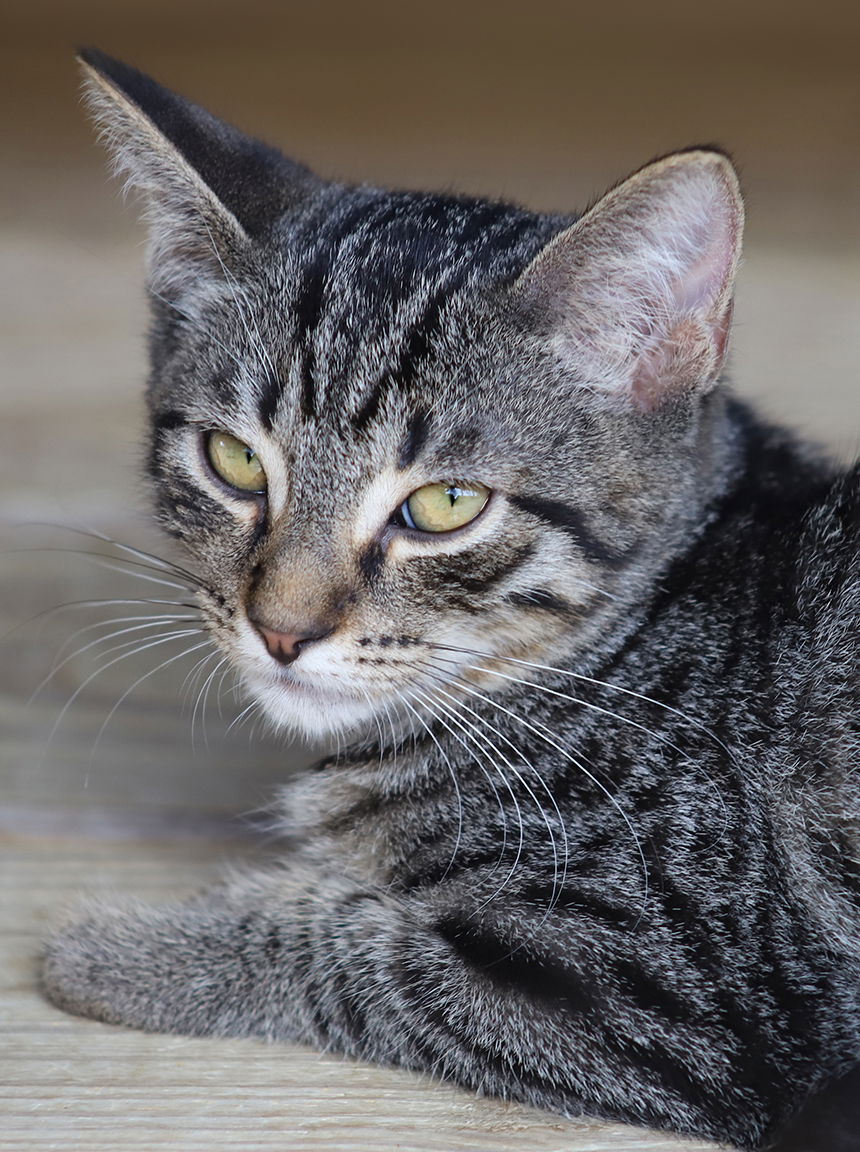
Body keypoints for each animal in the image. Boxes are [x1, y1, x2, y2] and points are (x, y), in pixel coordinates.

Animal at [42, 47, 860, 1152]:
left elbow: (353, 953)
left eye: (444, 505)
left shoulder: (663, 988)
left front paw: (114, 947)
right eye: (232, 461)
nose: (281, 629)